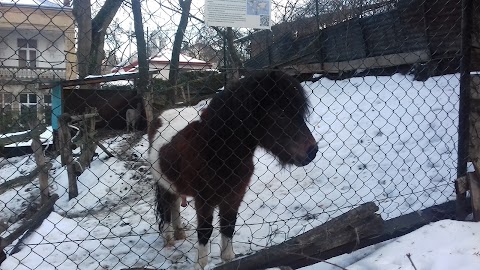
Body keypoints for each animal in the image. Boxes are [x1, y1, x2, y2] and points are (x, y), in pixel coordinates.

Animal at [148, 70, 316, 268]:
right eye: (279, 113)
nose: (312, 151)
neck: (215, 150)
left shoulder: (234, 195)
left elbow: (228, 225)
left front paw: (228, 258)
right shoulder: (204, 200)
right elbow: (205, 230)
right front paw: (201, 264)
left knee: (174, 203)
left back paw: (179, 233)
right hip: (162, 184)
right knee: (166, 206)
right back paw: (169, 239)